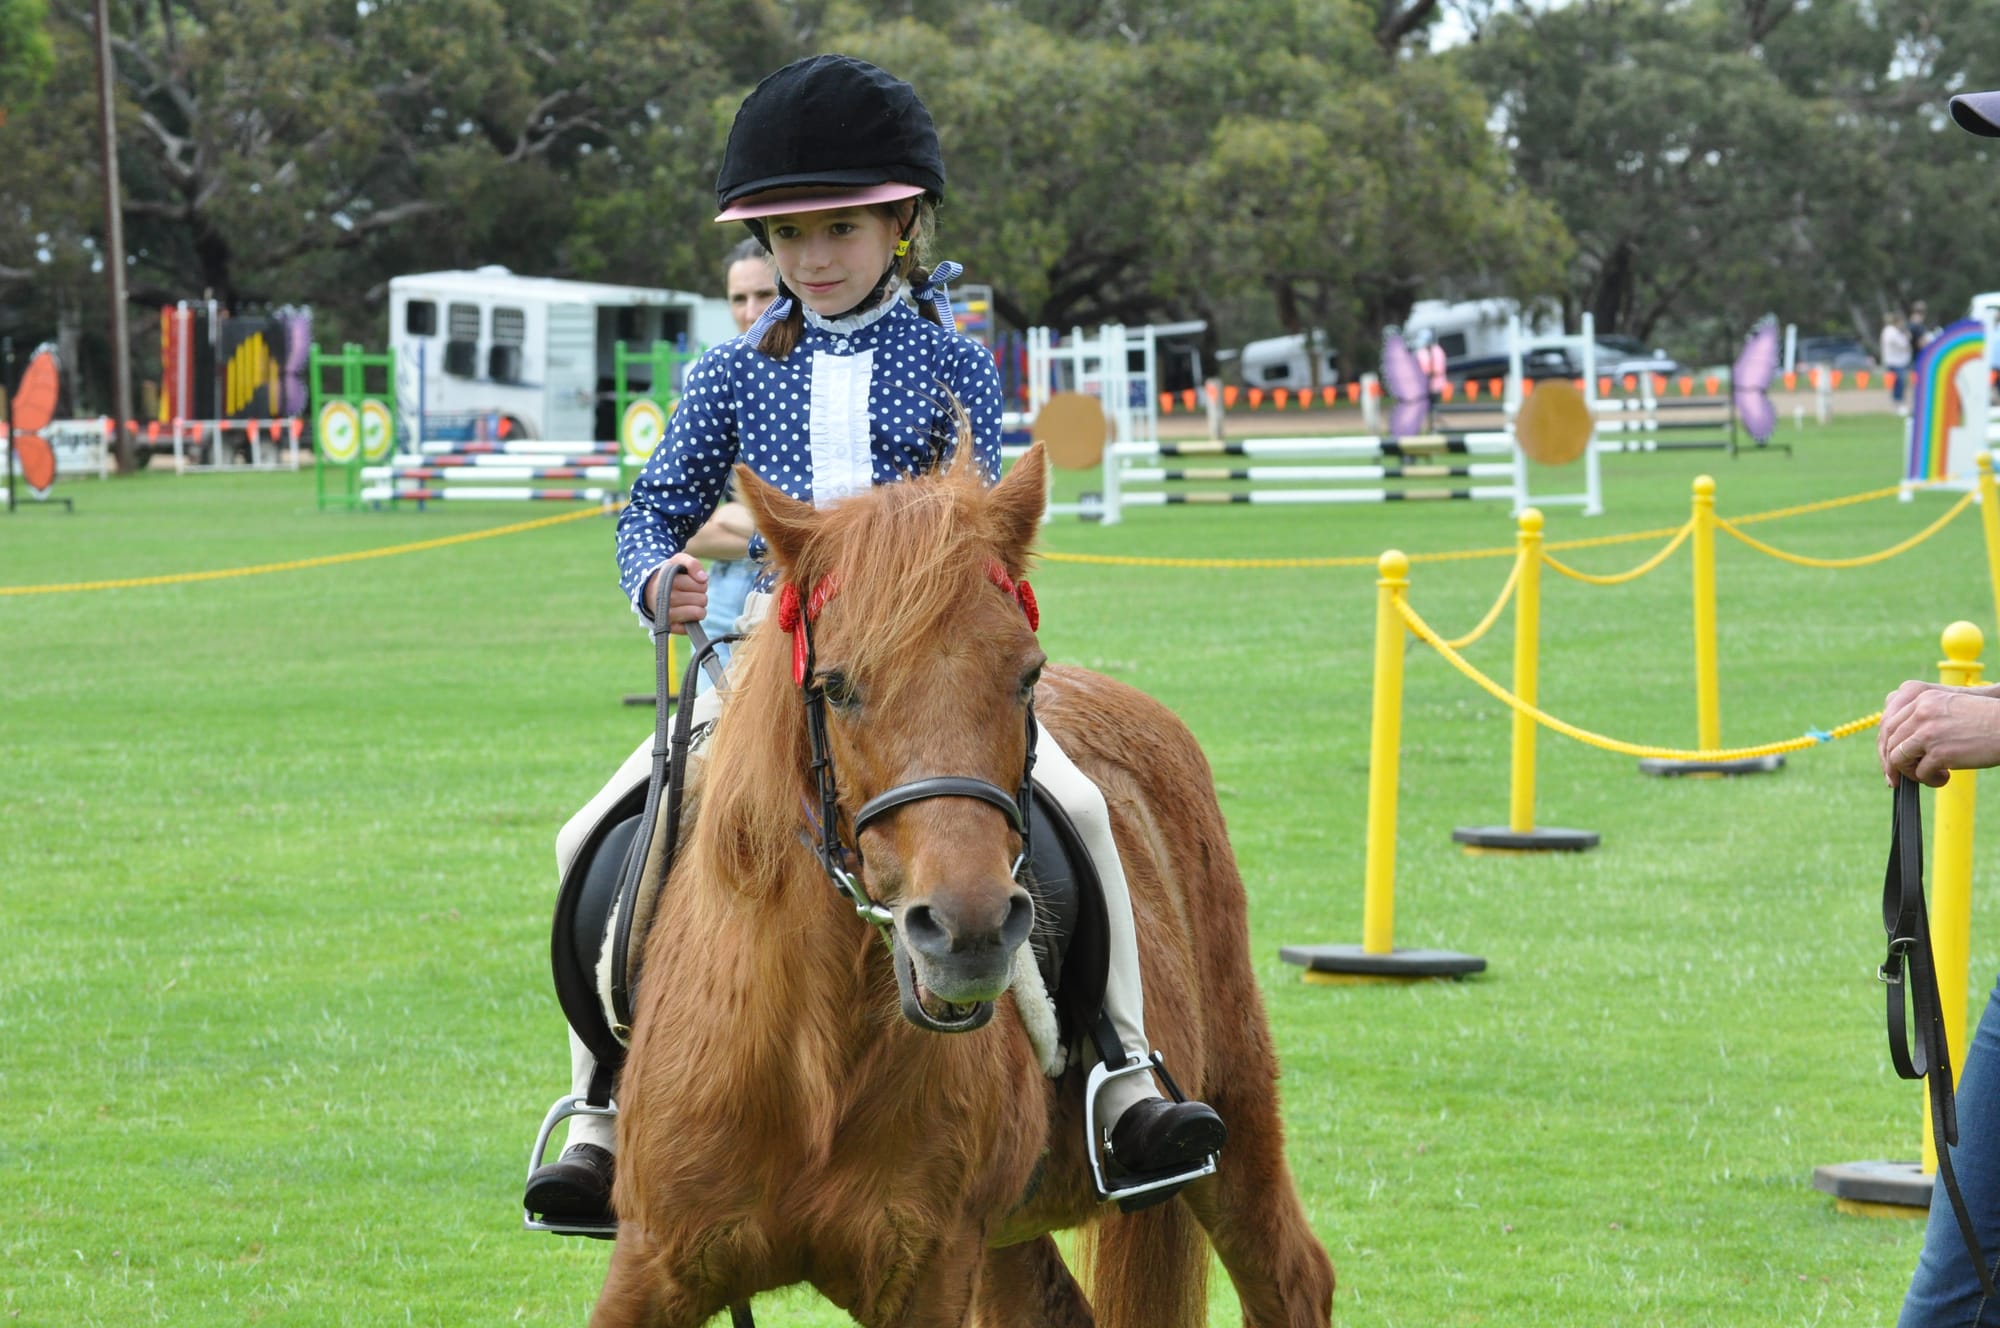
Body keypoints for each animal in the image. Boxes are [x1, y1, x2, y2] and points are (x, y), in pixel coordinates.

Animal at [590, 440, 1335, 1327]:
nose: (967, 932)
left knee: (1292, 1275)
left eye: (1026, 676)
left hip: (1237, 1102)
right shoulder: (654, 1261)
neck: (811, 1050)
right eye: (837, 686)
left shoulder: (931, 1267)